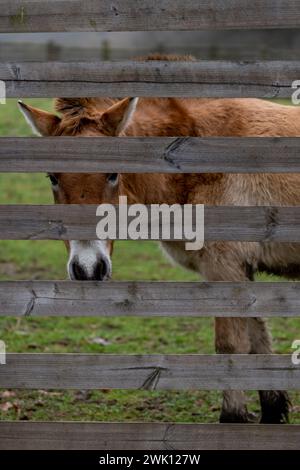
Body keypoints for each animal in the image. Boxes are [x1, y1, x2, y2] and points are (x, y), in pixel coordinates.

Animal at [19, 56, 300, 426]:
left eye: (113, 173)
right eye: (52, 177)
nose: (88, 269)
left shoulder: (224, 267)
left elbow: (231, 345)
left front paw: (233, 418)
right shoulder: (242, 270)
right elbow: (257, 340)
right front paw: (271, 412)